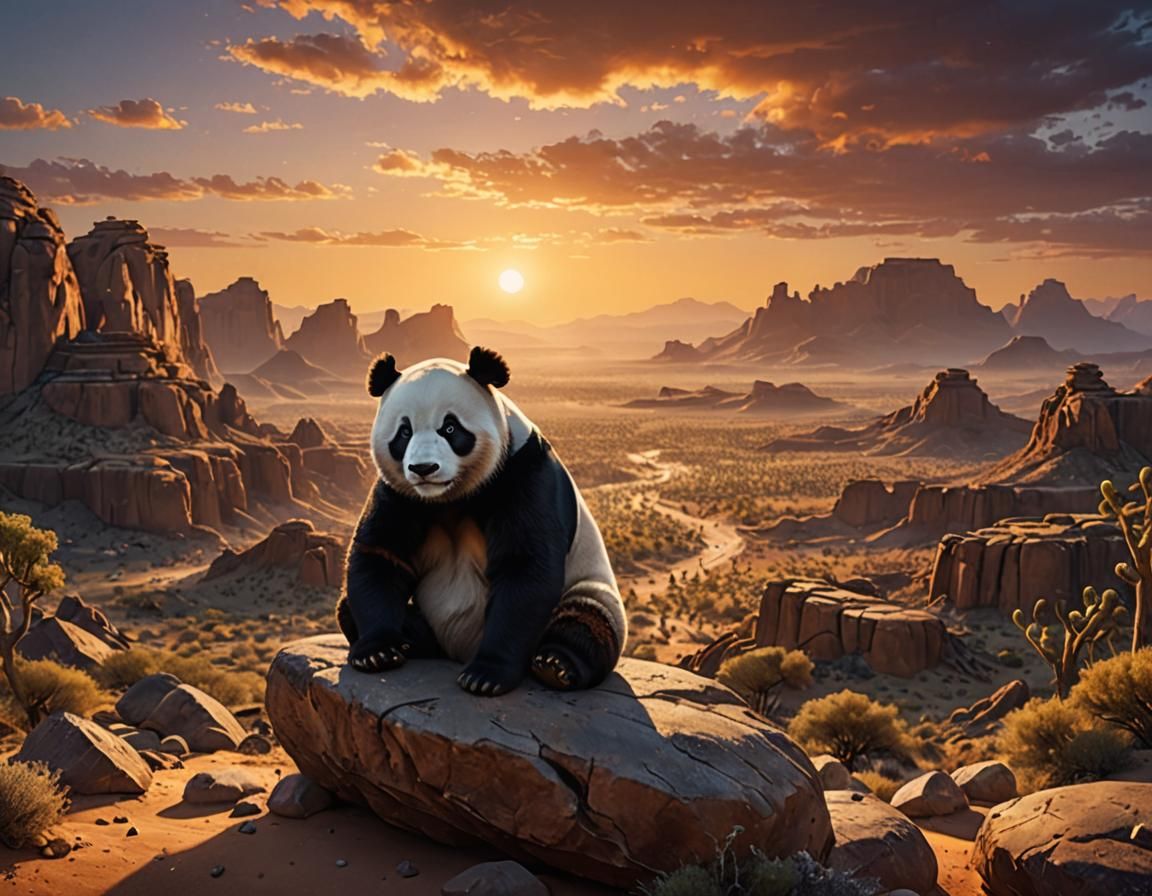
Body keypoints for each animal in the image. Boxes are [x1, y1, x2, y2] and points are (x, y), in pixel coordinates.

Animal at [336, 346, 627, 697]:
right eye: (404, 432)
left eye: (450, 428)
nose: (423, 468)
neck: (450, 496)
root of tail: (457, 650)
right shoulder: (399, 493)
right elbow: (379, 554)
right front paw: (377, 652)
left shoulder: (523, 471)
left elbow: (525, 566)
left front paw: (486, 675)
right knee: (347, 607)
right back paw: (411, 642)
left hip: (589, 586)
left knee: (586, 620)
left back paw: (555, 665)